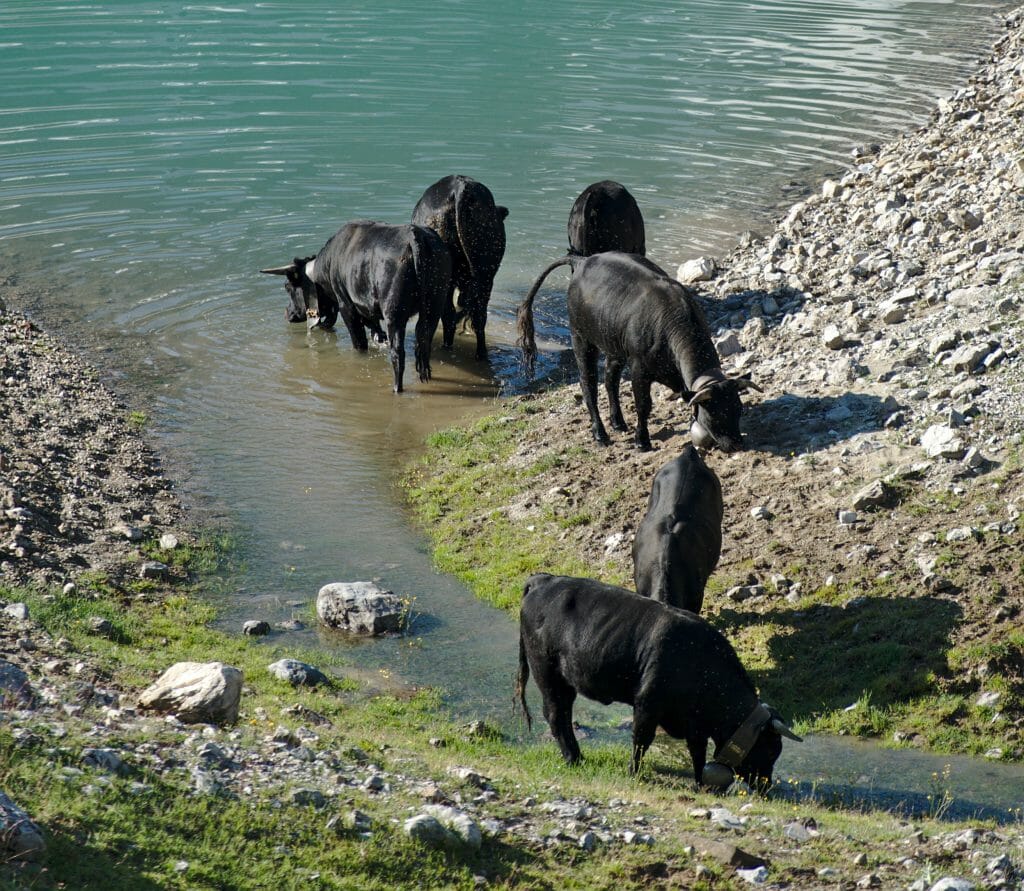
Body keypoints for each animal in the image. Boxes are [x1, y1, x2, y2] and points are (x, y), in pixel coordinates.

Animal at [262, 220, 450, 393]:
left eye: (288, 287)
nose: (287, 313)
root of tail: (414, 234)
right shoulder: (366, 308)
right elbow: (375, 329)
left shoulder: (346, 306)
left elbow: (359, 342)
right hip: (433, 307)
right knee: (423, 343)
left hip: (394, 314)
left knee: (398, 354)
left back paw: (397, 388)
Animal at [411, 173, 507, 358]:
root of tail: (460, 188)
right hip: (486, 273)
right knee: (479, 316)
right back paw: (481, 354)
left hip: (445, 280)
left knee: (449, 315)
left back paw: (447, 346)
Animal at [520, 255, 761, 456]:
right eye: (714, 414)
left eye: (738, 409)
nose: (737, 444)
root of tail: (582, 261)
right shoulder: (639, 369)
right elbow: (643, 405)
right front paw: (641, 441)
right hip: (581, 339)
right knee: (588, 385)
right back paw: (600, 433)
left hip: (614, 346)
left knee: (610, 379)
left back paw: (617, 422)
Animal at [520, 573, 798, 786]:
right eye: (771, 748)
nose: (765, 785)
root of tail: (544, 579)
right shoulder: (647, 705)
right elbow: (641, 741)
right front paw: (633, 772)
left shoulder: (695, 724)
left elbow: (697, 752)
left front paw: (699, 782)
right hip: (548, 675)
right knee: (557, 715)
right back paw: (574, 758)